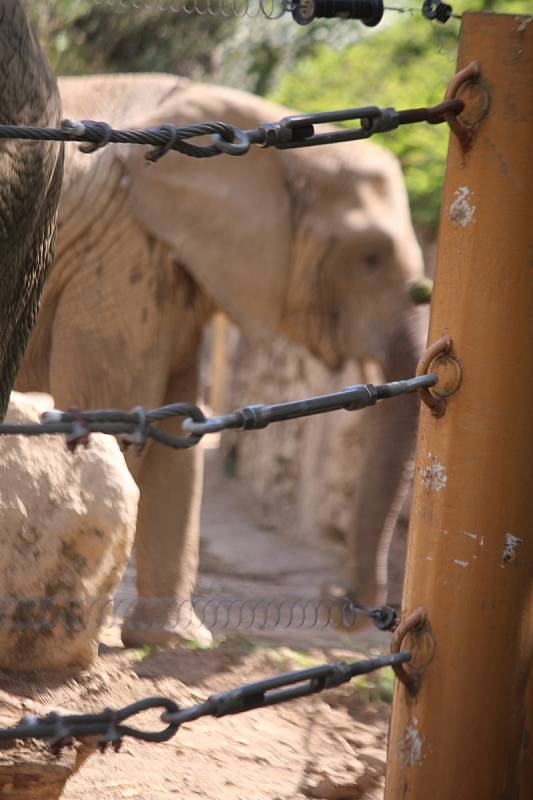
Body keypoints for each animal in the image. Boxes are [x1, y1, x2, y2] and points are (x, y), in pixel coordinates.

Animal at [16, 73, 428, 648]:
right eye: (369, 257)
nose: (339, 600)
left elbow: (175, 436)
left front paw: (172, 642)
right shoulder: (119, 255)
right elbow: (117, 416)